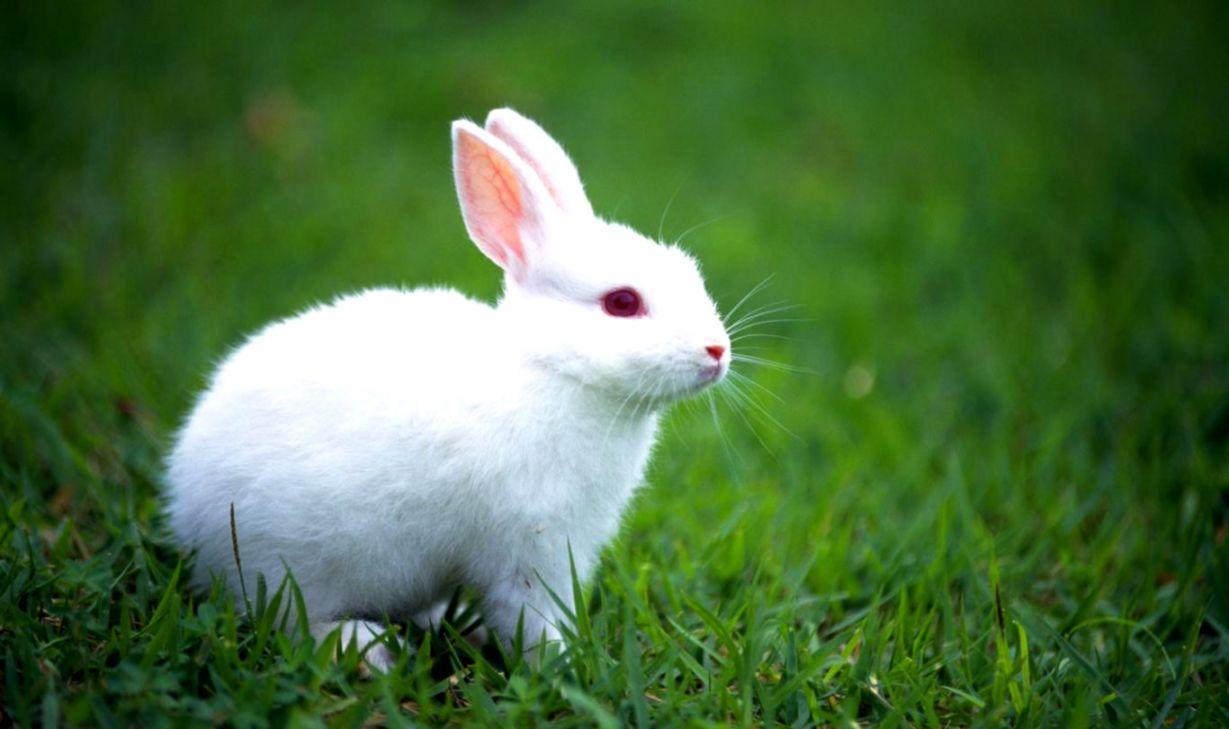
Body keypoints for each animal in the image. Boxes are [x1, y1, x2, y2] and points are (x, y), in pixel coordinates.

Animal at [164, 108, 732, 669]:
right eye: (622, 303)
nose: (717, 351)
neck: (553, 369)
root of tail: (187, 504)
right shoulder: (529, 549)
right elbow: (531, 618)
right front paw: (562, 664)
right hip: (292, 563)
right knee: (292, 621)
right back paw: (367, 648)